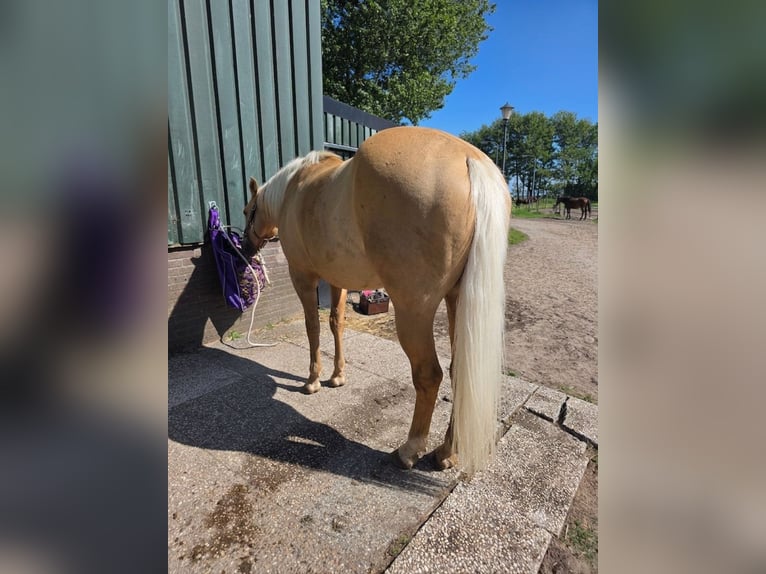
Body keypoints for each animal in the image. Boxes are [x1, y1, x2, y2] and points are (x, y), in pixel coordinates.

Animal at [242, 126, 511, 475]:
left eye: (248, 211)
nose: (246, 246)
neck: (294, 189)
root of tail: (469, 158)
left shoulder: (303, 276)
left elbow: (313, 327)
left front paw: (313, 381)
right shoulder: (338, 280)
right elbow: (336, 323)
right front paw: (337, 376)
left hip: (414, 312)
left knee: (429, 375)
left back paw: (409, 450)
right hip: (457, 301)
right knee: (459, 372)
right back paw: (446, 453)